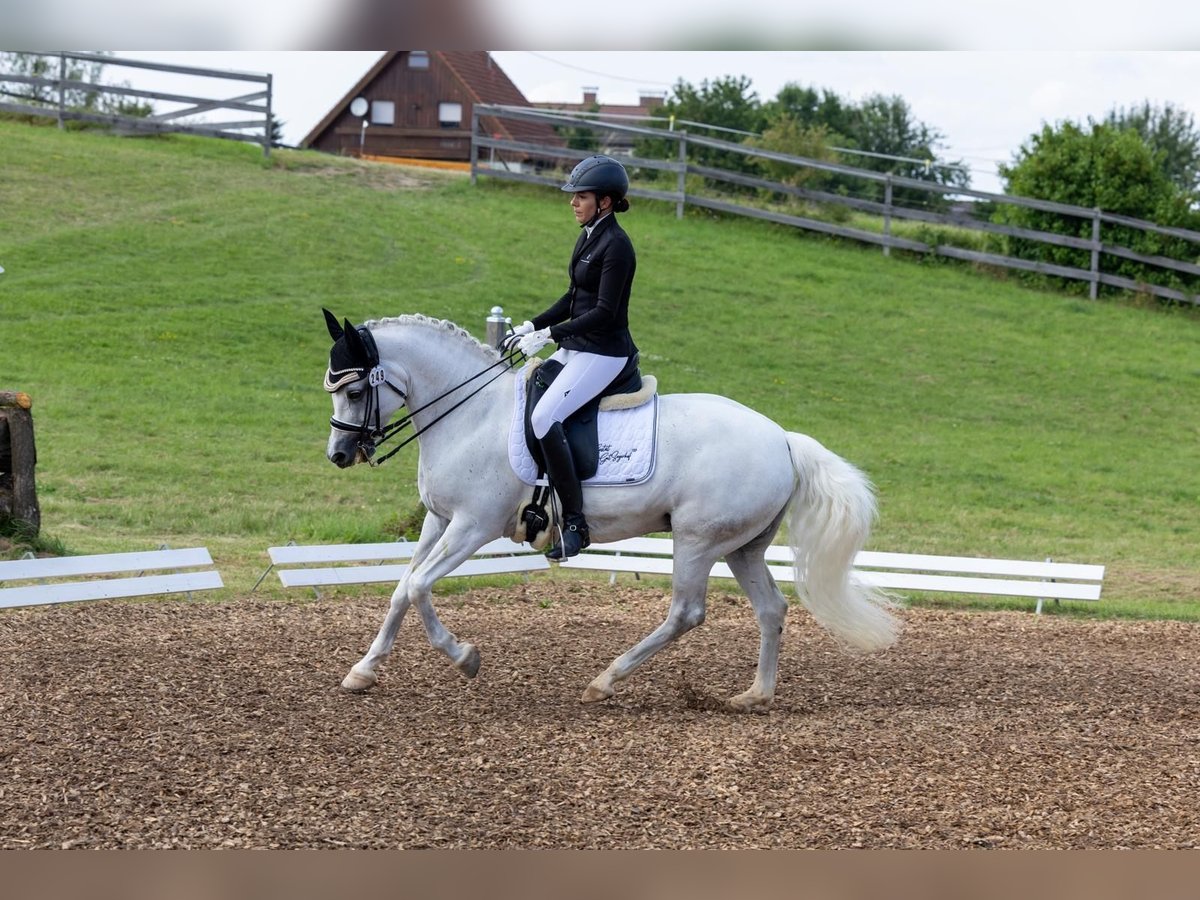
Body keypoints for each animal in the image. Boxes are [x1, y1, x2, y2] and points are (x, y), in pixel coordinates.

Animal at [324, 314, 897, 715]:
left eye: (353, 390)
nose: (339, 456)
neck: (471, 415)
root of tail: (782, 438)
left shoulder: (473, 527)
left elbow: (420, 585)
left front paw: (465, 657)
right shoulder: (439, 521)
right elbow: (402, 587)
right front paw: (363, 671)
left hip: (697, 540)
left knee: (686, 613)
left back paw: (605, 682)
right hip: (742, 547)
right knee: (771, 609)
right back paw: (755, 696)